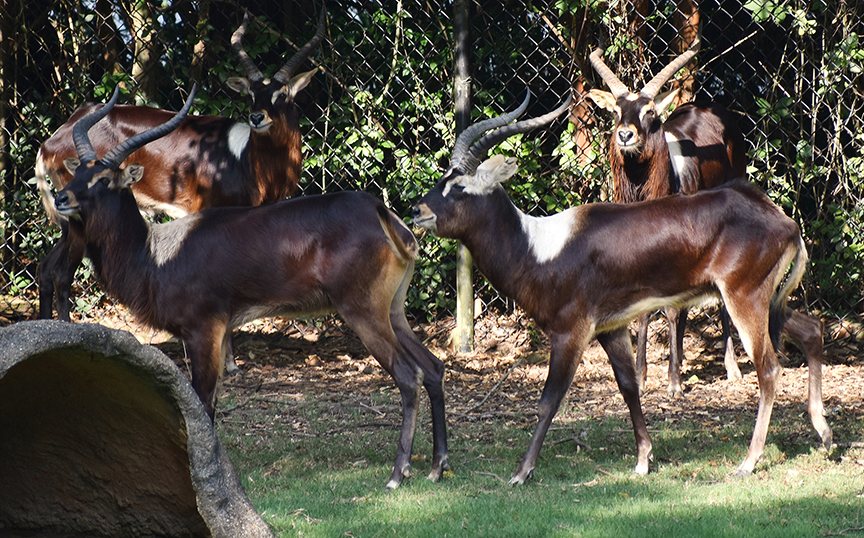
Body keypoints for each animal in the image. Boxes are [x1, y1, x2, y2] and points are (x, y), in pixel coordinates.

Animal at [35, 8, 326, 338]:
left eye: (283, 94)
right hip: (76, 224)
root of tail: (55, 137)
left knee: (45, 269)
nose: (257, 117)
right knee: (60, 273)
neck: (247, 162)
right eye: (252, 94)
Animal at [54, 85, 452, 490]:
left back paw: (397, 475)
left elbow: (202, 404)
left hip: (363, 312)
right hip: (393, 312)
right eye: (78, 172)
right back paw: (437, 467)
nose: (61, 198)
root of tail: (381, 213)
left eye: (104, 179)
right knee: (434, 367)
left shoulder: (204, 329)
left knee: (409, 376)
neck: (155, 255)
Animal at [412, 89, 832, 482]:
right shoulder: (610, 328)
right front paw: (644, 459)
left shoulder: (570, 333)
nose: (417, 209)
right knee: (811, 330)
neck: (536, 247)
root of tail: (783, 220)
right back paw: (824, 434)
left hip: (744, 299)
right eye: (441, 179)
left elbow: (549, 400)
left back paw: (749, 461)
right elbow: (628, 386)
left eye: (459, 187)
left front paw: (522, 472)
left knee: (769, 369)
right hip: (767, 300)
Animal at [588, 37, 748, 396]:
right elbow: (643, 311)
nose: (625, 135)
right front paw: (641, 376)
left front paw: (674, 384)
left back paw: (730, 368)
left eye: (649, 111)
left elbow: (673, 310)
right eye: (616, 110)